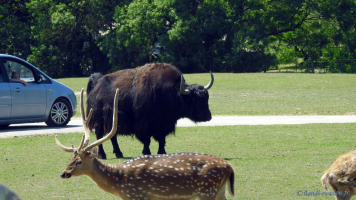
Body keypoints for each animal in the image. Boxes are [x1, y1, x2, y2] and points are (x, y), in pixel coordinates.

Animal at [55, 88, 234, 199]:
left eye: (79, 161)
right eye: (70, 159)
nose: (63, 173)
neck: (118, 183)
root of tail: (229, 167)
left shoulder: (137, 194)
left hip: (207, 190)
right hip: (219, 191)